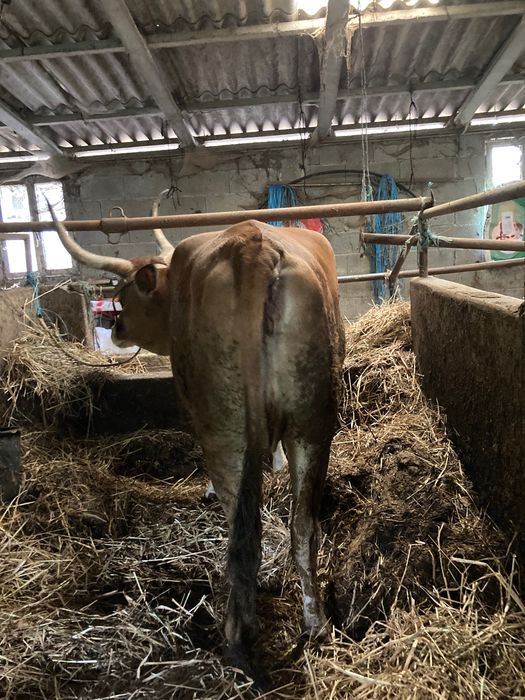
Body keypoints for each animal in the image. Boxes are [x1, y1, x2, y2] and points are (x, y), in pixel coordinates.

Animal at [48, 204, 345, 682]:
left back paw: (236, 637)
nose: (115, 327)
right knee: (302, 526)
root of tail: (252, 246)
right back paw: (315, 624)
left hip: (224, 429)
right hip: (313, 424)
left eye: (126, 296)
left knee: (242, 527)